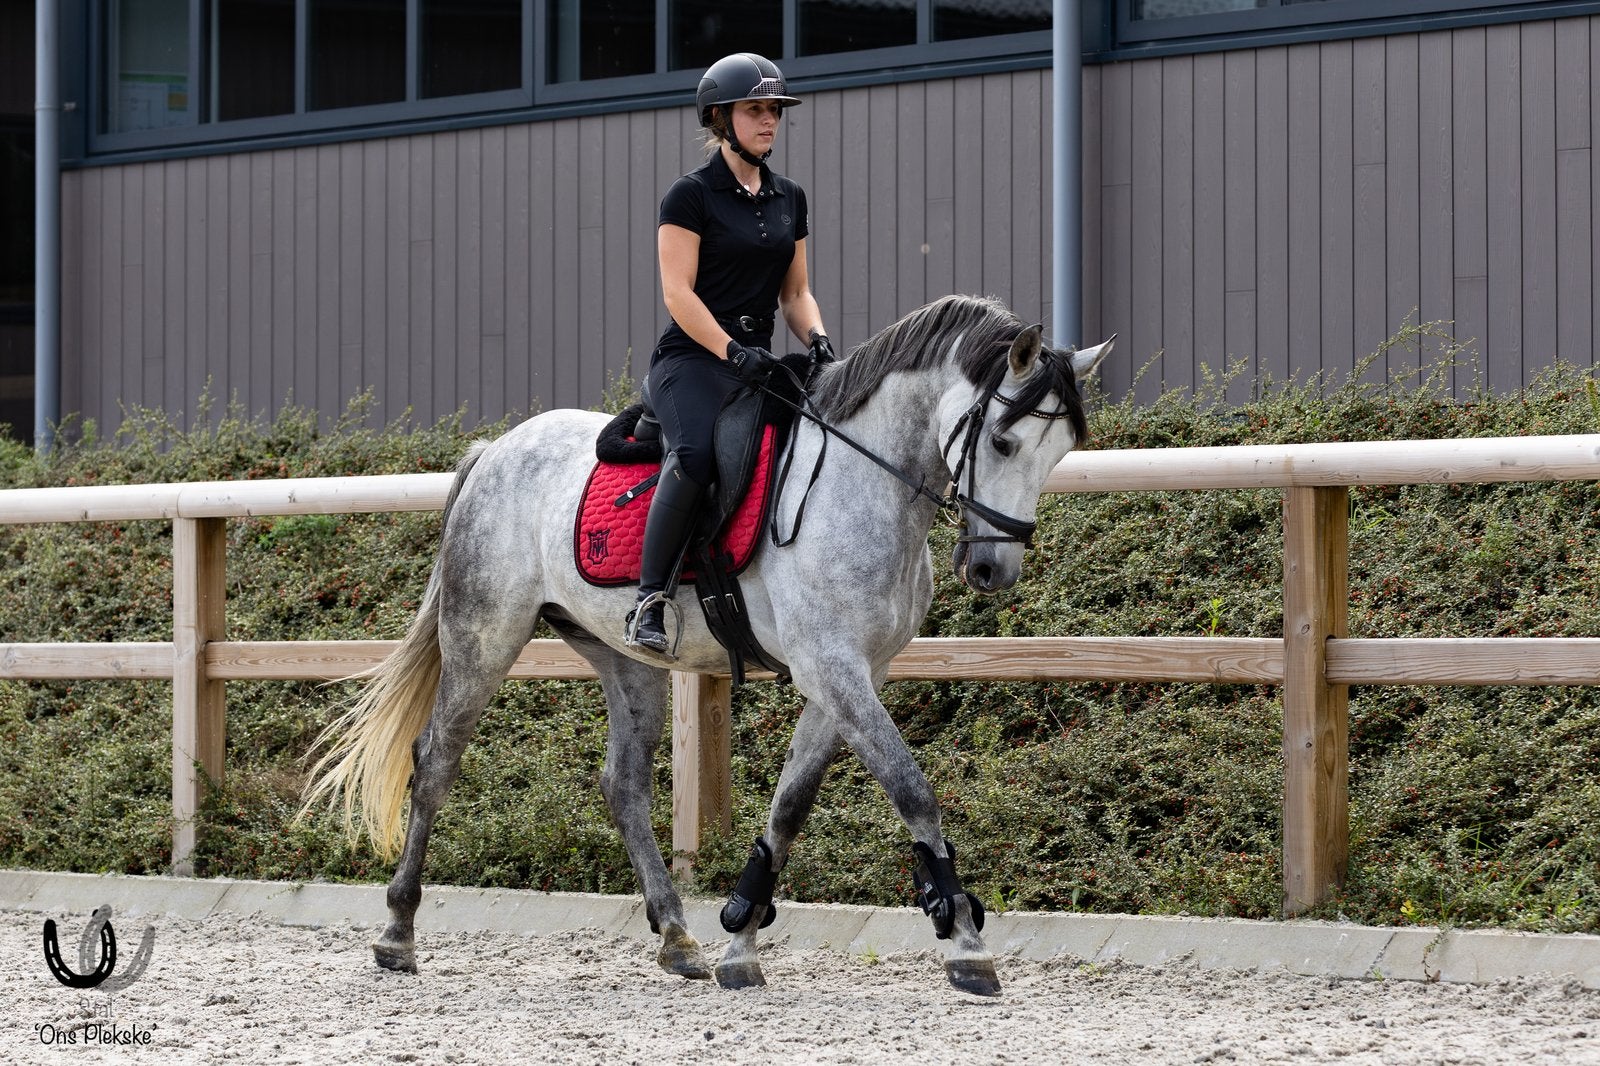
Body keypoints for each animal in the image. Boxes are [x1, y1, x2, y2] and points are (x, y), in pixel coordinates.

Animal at [303, 293, 1114, 997]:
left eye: (1062, 450)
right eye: (1004, 440)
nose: (993, 570)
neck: (862, 483)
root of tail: (495, 450)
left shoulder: (854, 673)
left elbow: (789, 806)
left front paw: (740, 942)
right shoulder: (832, 668)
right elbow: (910, 787)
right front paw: (965, 943)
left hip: (623, 659)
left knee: (623, 785)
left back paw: (677, 938)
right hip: (483, 635)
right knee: (437, 759)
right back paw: (398, 933)